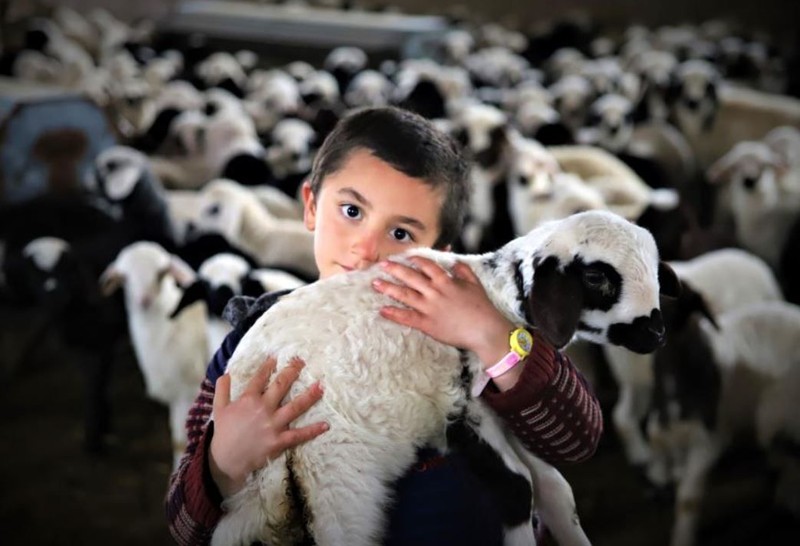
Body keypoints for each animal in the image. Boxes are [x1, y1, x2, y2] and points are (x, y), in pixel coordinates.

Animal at [99, 240, 209, 466]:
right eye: (124, 277)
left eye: (161, 273)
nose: (145, 300)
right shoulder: (176, 392)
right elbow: (178, 442)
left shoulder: (188, 389)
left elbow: (183, 442)